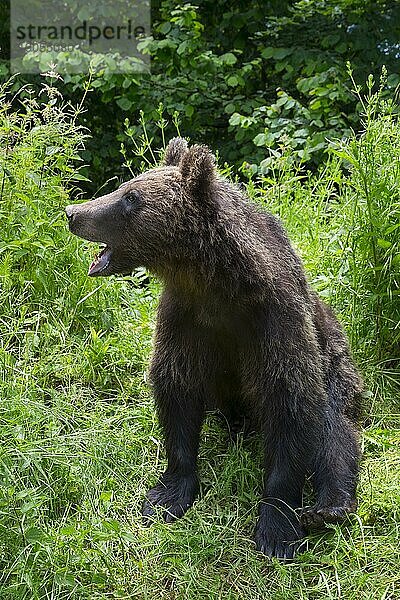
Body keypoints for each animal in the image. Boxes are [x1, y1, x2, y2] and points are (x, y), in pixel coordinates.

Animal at [65, 138, 362, 560]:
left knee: (334, 431)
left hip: (336, 362)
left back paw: (329, 507)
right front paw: (167, 494)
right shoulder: (186, 318)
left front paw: (277, 528)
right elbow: (176, 388)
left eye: (130, 198)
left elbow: (290, 402)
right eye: (125, 187)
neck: (217, 283)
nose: (73, 213)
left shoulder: (274, 322)